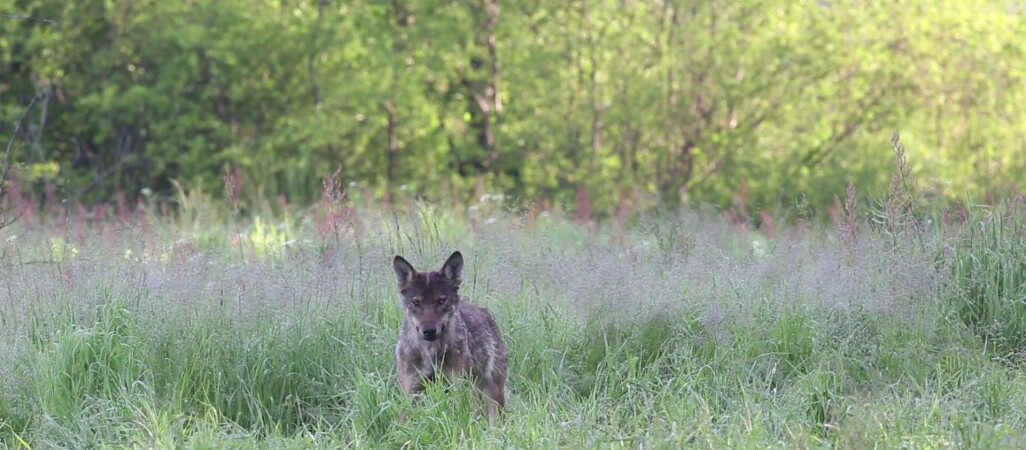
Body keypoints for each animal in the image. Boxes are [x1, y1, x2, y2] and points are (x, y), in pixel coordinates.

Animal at [389, 252, 506, 420]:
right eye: (416, 302)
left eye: (441, 300)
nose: (429, 330)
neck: (430, 353)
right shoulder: (410, 391)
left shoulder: (456, 387)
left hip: (490, 394)